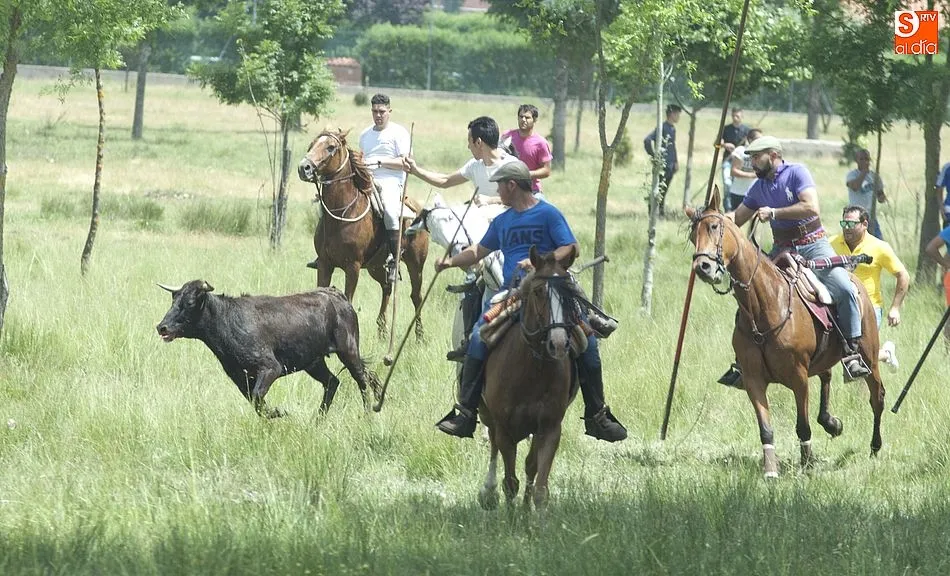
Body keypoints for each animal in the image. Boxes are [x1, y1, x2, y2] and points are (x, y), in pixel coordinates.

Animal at [155, 280, 380, 417]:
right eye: (173, 300)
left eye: (189, 302)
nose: (162, 327)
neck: (226, 320)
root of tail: (337, 295)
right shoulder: (240, 378)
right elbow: (255, 401)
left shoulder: (271, 368)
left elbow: (257, 397)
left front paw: (281, 413)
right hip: (314, 363)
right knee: (334, 382)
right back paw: (317, 420)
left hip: (348, 351)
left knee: (362, 380)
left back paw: (367, 414)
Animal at [297, 129, 429, 340]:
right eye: (312, 144)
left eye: (330, 147)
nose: (304, 168)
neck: (342, 214)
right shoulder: (324, 264)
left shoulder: (353, 267)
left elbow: (348, 299)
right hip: (376, 267)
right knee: (387, 288)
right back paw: (382, 330)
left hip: (415, 264)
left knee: (416, 296)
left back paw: (419, 336)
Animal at [477, 245, 579, 509]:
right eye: (538, 291)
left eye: (569, 293)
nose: (558, 344)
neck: (533, 369)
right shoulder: (505, 429)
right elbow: (510, 482)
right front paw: (511, 515)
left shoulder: (550, 428)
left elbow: (538, 482)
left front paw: (529, 514)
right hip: (486, 413)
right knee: (492, 444)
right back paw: (488, 490)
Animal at [686, 189, 885, 478]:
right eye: (692, 235)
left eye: (713, 226)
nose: (703, 267)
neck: (765, 305)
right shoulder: (753, 379)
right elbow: (766, 429)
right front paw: (770, 469)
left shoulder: (798, 378)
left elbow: (802, 425)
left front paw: (808, 464)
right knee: (826, 377)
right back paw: (831, 422)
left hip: (870, 357)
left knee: (877, 398)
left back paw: (875, 447)